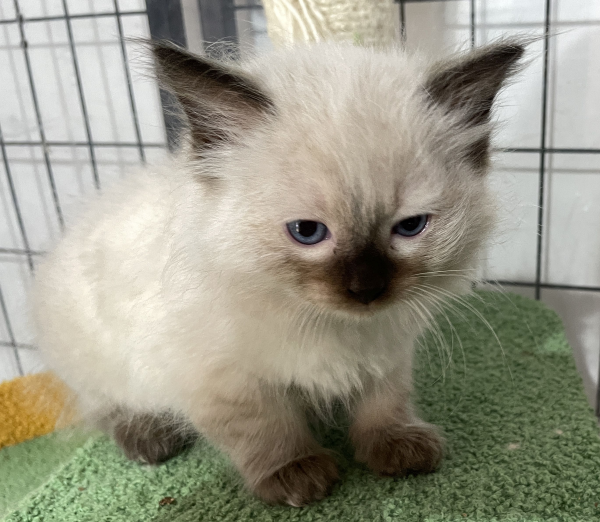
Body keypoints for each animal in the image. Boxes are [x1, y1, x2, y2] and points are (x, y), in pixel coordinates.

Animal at [31, 39, 524, 504]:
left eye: (410, 227)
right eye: (308, 232)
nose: (366, 289)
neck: (330, 325)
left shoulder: (387, 351)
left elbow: (384, 403)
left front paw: (395, 447)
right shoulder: (224, 379)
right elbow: (265, 428)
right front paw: (296, 473)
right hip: (98, 358)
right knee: (104, 407)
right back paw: (149, 438)